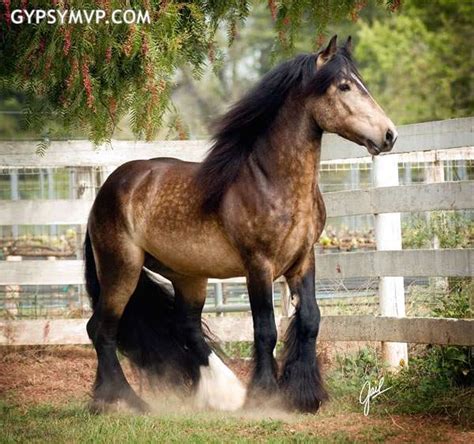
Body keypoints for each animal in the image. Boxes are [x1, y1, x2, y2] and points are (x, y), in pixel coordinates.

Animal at [85, 34, 396, 412]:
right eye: (344, 86)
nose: (389, 135)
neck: (271, 182)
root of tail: (109, 188)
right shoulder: (258, 266)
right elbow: (265, 329)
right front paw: (263, 395)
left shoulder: (302, 261)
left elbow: (310, 320)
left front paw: (304, 395)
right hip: (122, 269)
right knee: (102, 329)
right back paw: (122, 401)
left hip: (188, 275)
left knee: (185, 326)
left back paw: (222, 393)